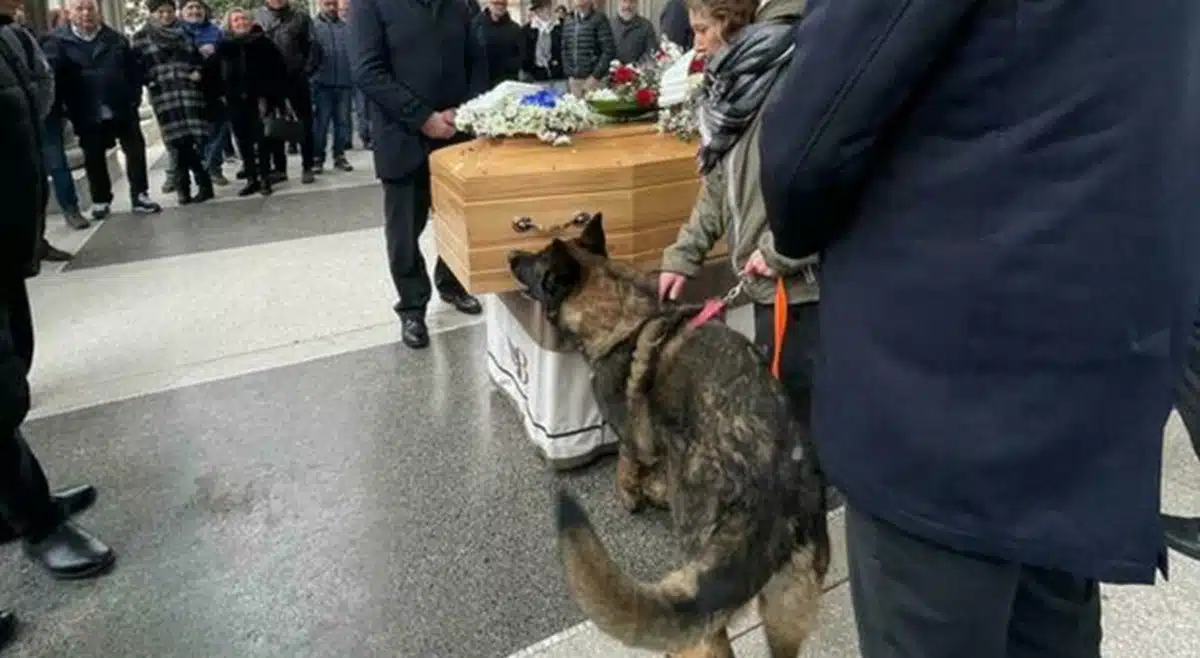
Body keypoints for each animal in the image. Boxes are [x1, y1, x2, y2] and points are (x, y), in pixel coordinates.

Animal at [504, 213, 825, 653]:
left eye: (536, 262)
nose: (510, 254)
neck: (624, 315)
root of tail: (778, 498)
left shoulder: (630, 434)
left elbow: (627, 464)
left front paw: (631, 495)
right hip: (786, 614)